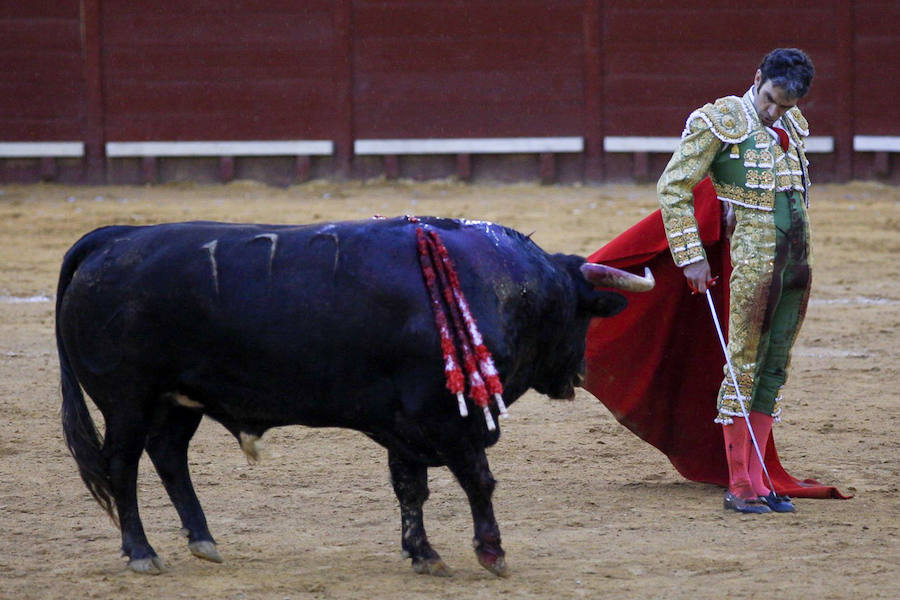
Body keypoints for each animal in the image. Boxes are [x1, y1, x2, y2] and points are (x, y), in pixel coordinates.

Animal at [56, 216, 652, 576]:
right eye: (582, 314)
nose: (578, 374)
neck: (495, 284)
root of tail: (112, 238)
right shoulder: (448, 420)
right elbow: (478, 480)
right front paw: (491, 553)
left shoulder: (405, 426)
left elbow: (411, 489)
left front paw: (423, 555)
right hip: (127, 402)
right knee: (121, 466)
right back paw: (141, 553)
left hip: (179, 400)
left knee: (169, 457)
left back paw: (203, 541)